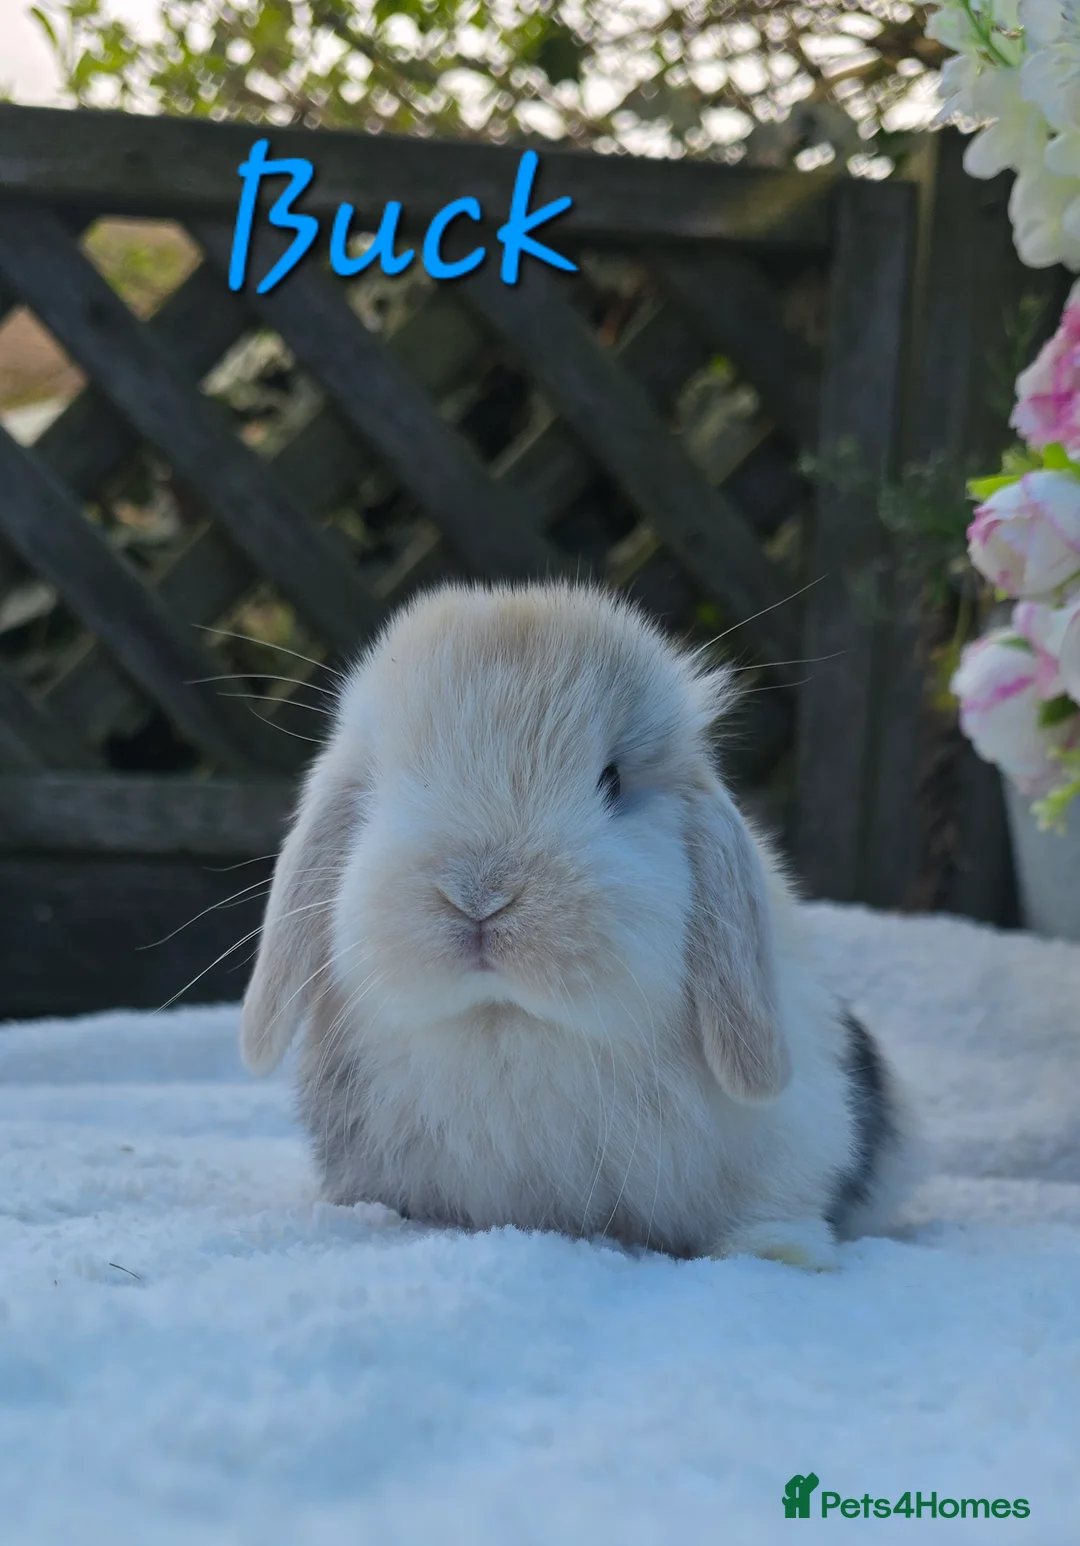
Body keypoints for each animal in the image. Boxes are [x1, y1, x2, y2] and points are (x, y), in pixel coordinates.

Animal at [240, 581, 911, 1271]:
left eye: (611, 780)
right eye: (383, 784)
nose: (479, 896)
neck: (506, 1026)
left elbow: (771, 1211)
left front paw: (779, 1255)